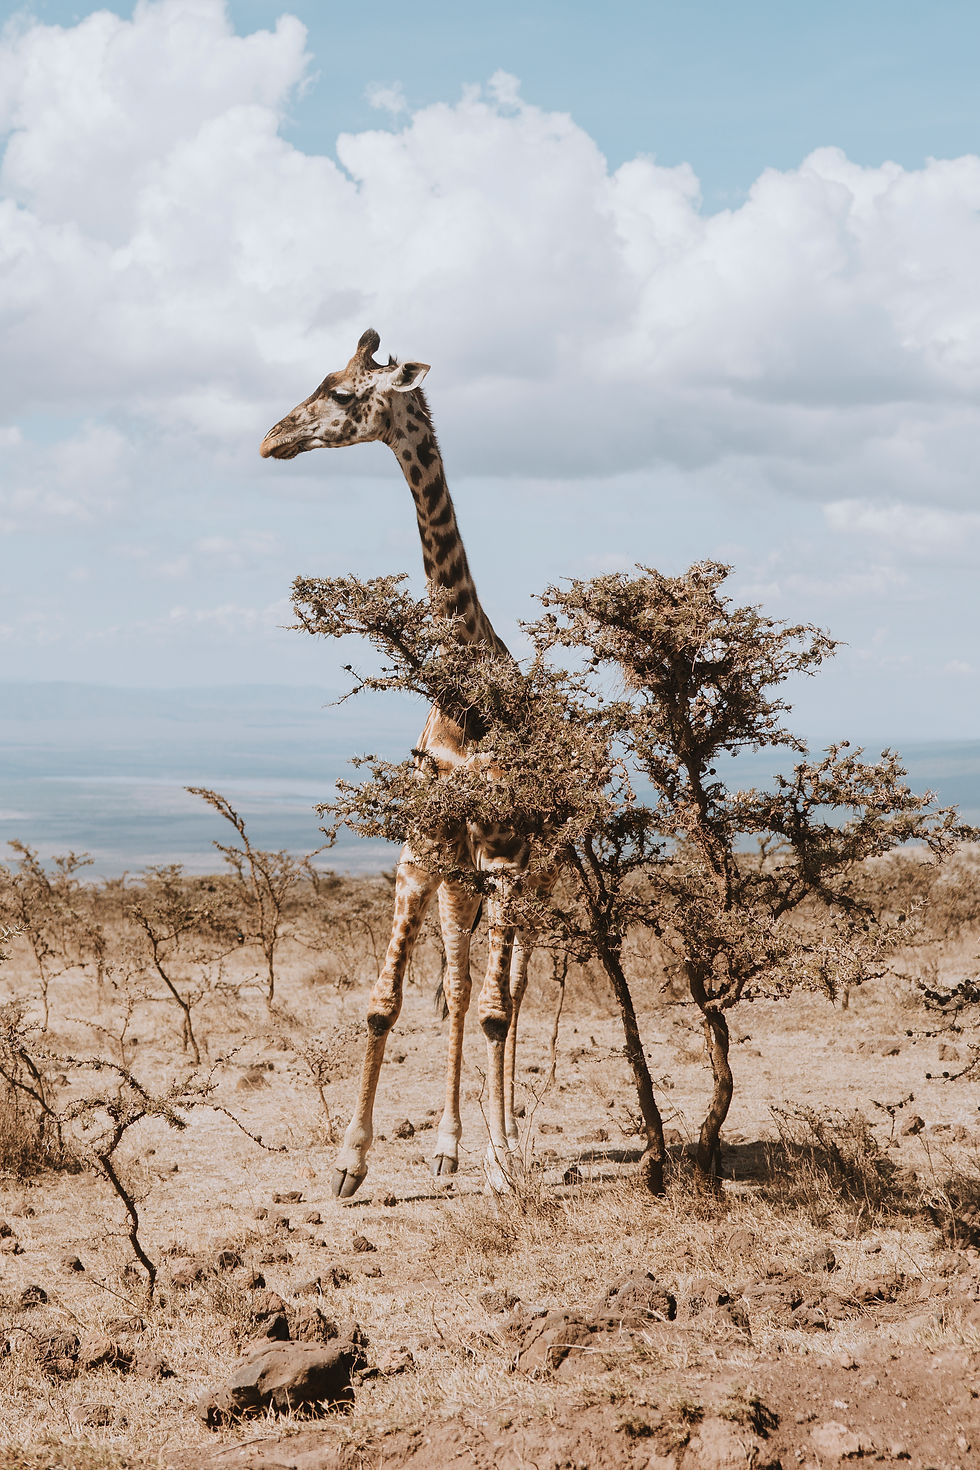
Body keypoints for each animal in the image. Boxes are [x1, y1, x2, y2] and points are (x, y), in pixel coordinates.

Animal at [260, 329, 540, 1197]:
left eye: (347, 394)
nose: (271, 439)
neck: (465, 697)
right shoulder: (420, 854)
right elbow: (386, 1003)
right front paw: (351, 1162)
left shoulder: (507, 857)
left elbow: (495, 1011)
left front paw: (500, 1165)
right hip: (460, 877)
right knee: (459, 986)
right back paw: (449, 1144)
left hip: (543, 872)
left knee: (512, 993)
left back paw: (509, 1146)